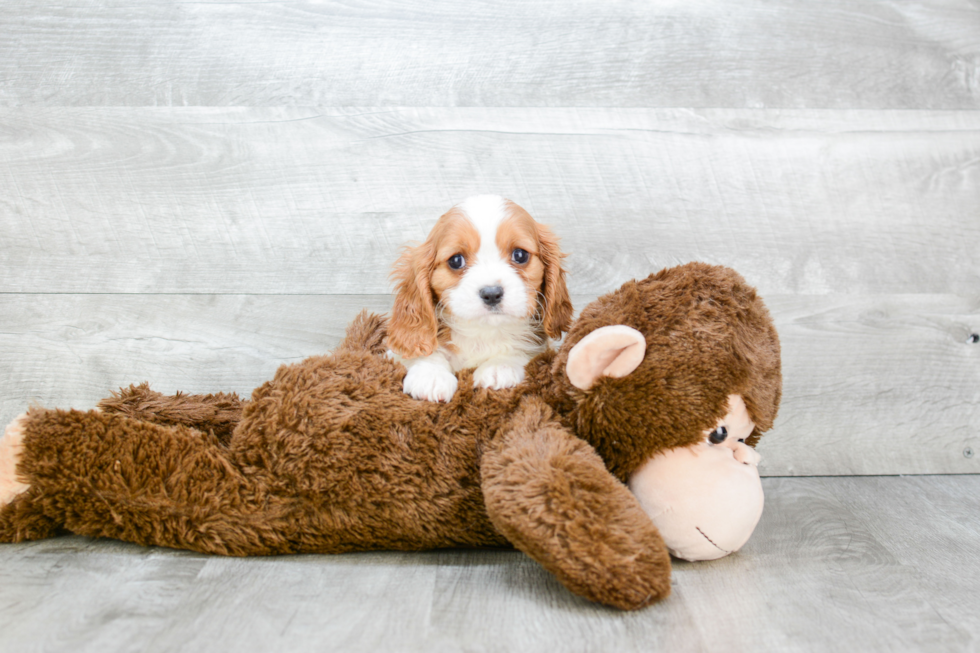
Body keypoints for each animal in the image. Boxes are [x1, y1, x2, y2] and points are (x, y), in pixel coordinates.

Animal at [388, 194, 576, 400]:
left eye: (520, 255)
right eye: (456, 260)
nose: (491, 293)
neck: (482, 333)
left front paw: (499, 366)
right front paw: (430, 375)